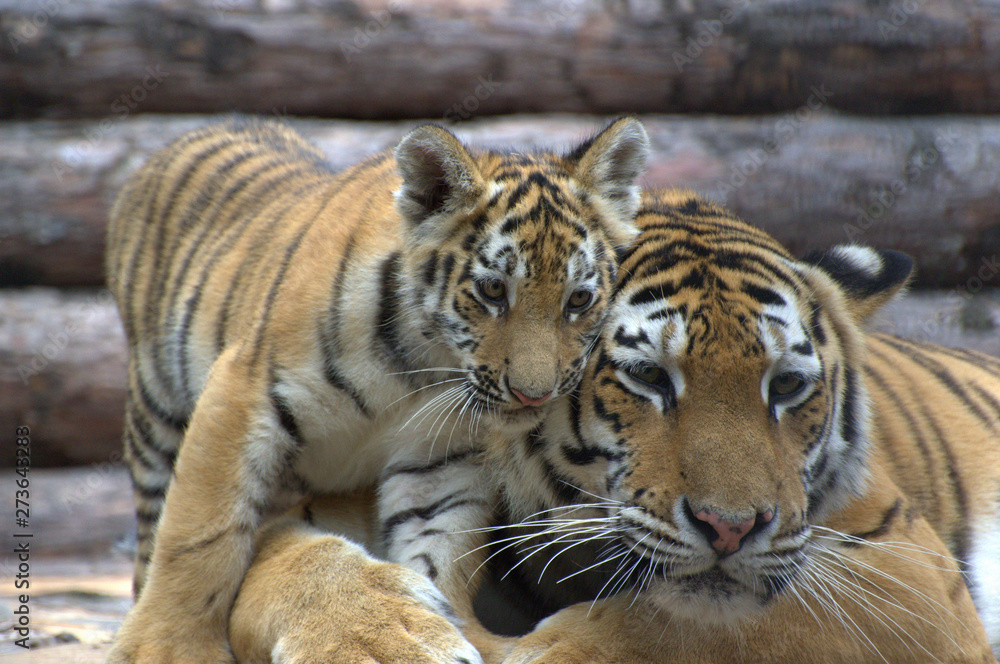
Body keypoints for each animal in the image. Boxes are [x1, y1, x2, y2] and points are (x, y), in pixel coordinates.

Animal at [103, 115, 651, 664]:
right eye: (493, 290)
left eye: (578, 300)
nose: (534, 395)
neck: (423, 361)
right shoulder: (242, 391)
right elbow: (201, 532)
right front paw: (168, 647)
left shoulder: (438, 460)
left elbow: (438, 547)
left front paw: (440, 624)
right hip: (155, 413)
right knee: (155, 523)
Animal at [227, 189, 1000, 663]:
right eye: (650, 378)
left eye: (785, 387)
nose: (731, 528)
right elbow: (276, 561)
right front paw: (380, 638)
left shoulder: (910, 569)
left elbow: (716, 620)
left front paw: (552, 650)